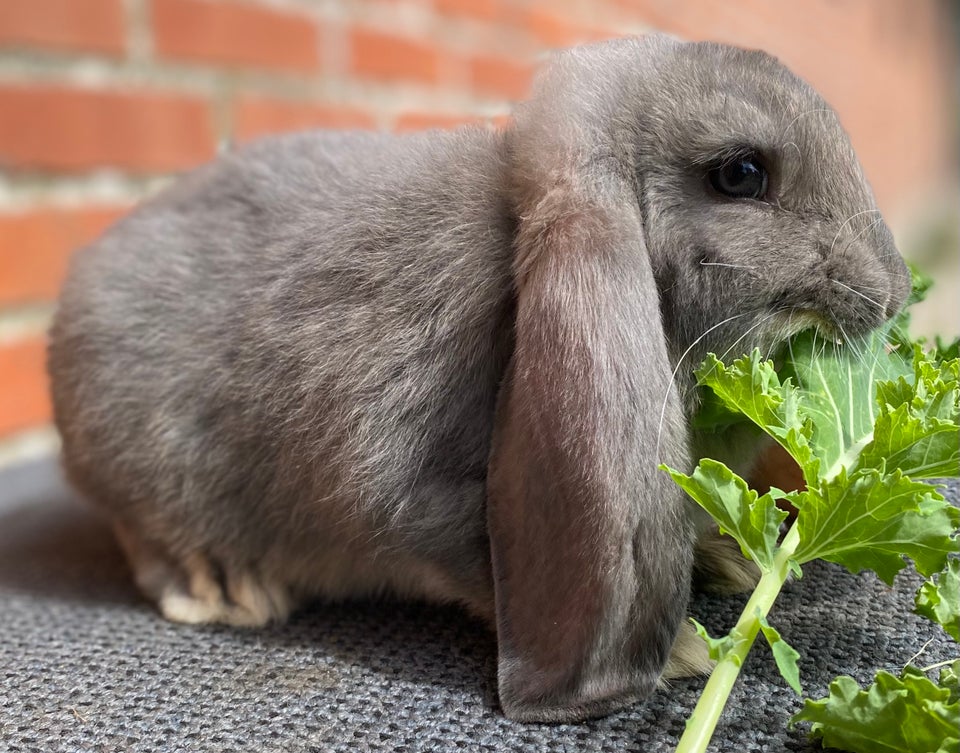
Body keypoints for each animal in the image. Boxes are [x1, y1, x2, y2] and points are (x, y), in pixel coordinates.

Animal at [50, 36, 908, 724]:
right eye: (741, 173)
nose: (893, 290)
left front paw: (728, 561)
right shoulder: (423, 495)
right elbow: (475, 561)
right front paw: (681, 655)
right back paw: (226, 585)